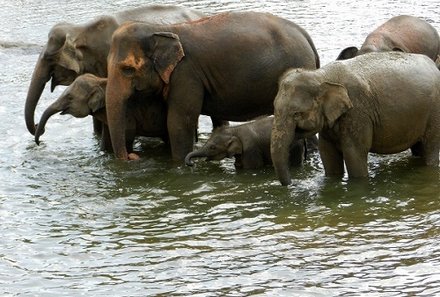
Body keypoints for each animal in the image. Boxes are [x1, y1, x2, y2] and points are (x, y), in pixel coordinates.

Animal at [105, 11, 320, 162]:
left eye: (127, 69)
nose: (133, 157)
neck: (162, 29)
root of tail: (306, 37)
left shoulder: (186, 75)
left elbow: (178, 123)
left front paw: (179, 165)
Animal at [186, 115, 316, 169]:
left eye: (212, 147)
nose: (192, 164)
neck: (235, 130)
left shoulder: (251, 150)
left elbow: (251, 168)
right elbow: (238, 165)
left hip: (294, 147)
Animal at [270, 51, 440, 185]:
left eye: (296, 114)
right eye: (274, 109)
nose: (292, 184)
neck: (321, 75)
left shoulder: (357, 112)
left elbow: (354, 153)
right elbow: (327, 153)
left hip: (435, 113)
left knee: (430, 147)